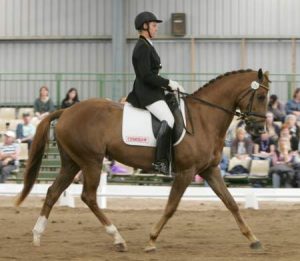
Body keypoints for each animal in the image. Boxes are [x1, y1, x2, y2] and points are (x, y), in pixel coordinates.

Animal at [15, 69, 270, 252]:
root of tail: (66, 111)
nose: (259, 130)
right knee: (88, 196)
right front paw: (151, 240)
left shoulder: (210, 169)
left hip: (72, 163)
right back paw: (118, 239)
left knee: (53, 192)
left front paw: (254, 239)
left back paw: (37, 236)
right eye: (261, 95)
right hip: (91, 162)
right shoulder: (186, 172)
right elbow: (171, 206)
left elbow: (231, 203)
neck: (203, 118)